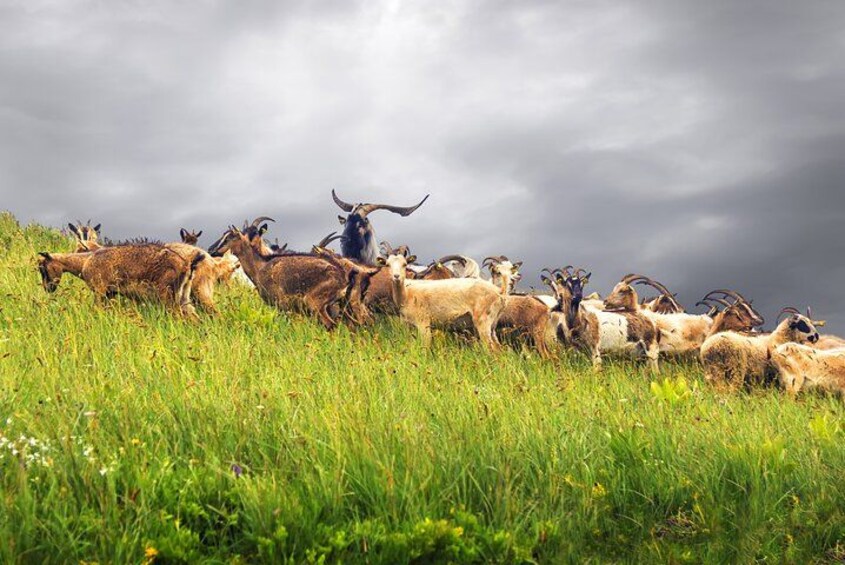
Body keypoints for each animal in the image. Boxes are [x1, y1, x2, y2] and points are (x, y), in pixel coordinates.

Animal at [37, 245, 203, 318]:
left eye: (42, 268)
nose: (47, 288)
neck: (84, 262)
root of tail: (188, 264)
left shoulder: (100, 290)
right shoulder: (110, 293)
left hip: (168, 295)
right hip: (183, 295)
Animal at [377, 252, 506, 350]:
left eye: (405, 264)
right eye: (387, 265)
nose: (396, 277)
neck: (407, 293)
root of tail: (499, 291)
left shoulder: (424, 323)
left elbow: (425, 348)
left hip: (483, 321)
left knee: (492, 349)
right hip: (492, 324)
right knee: (499, 349)